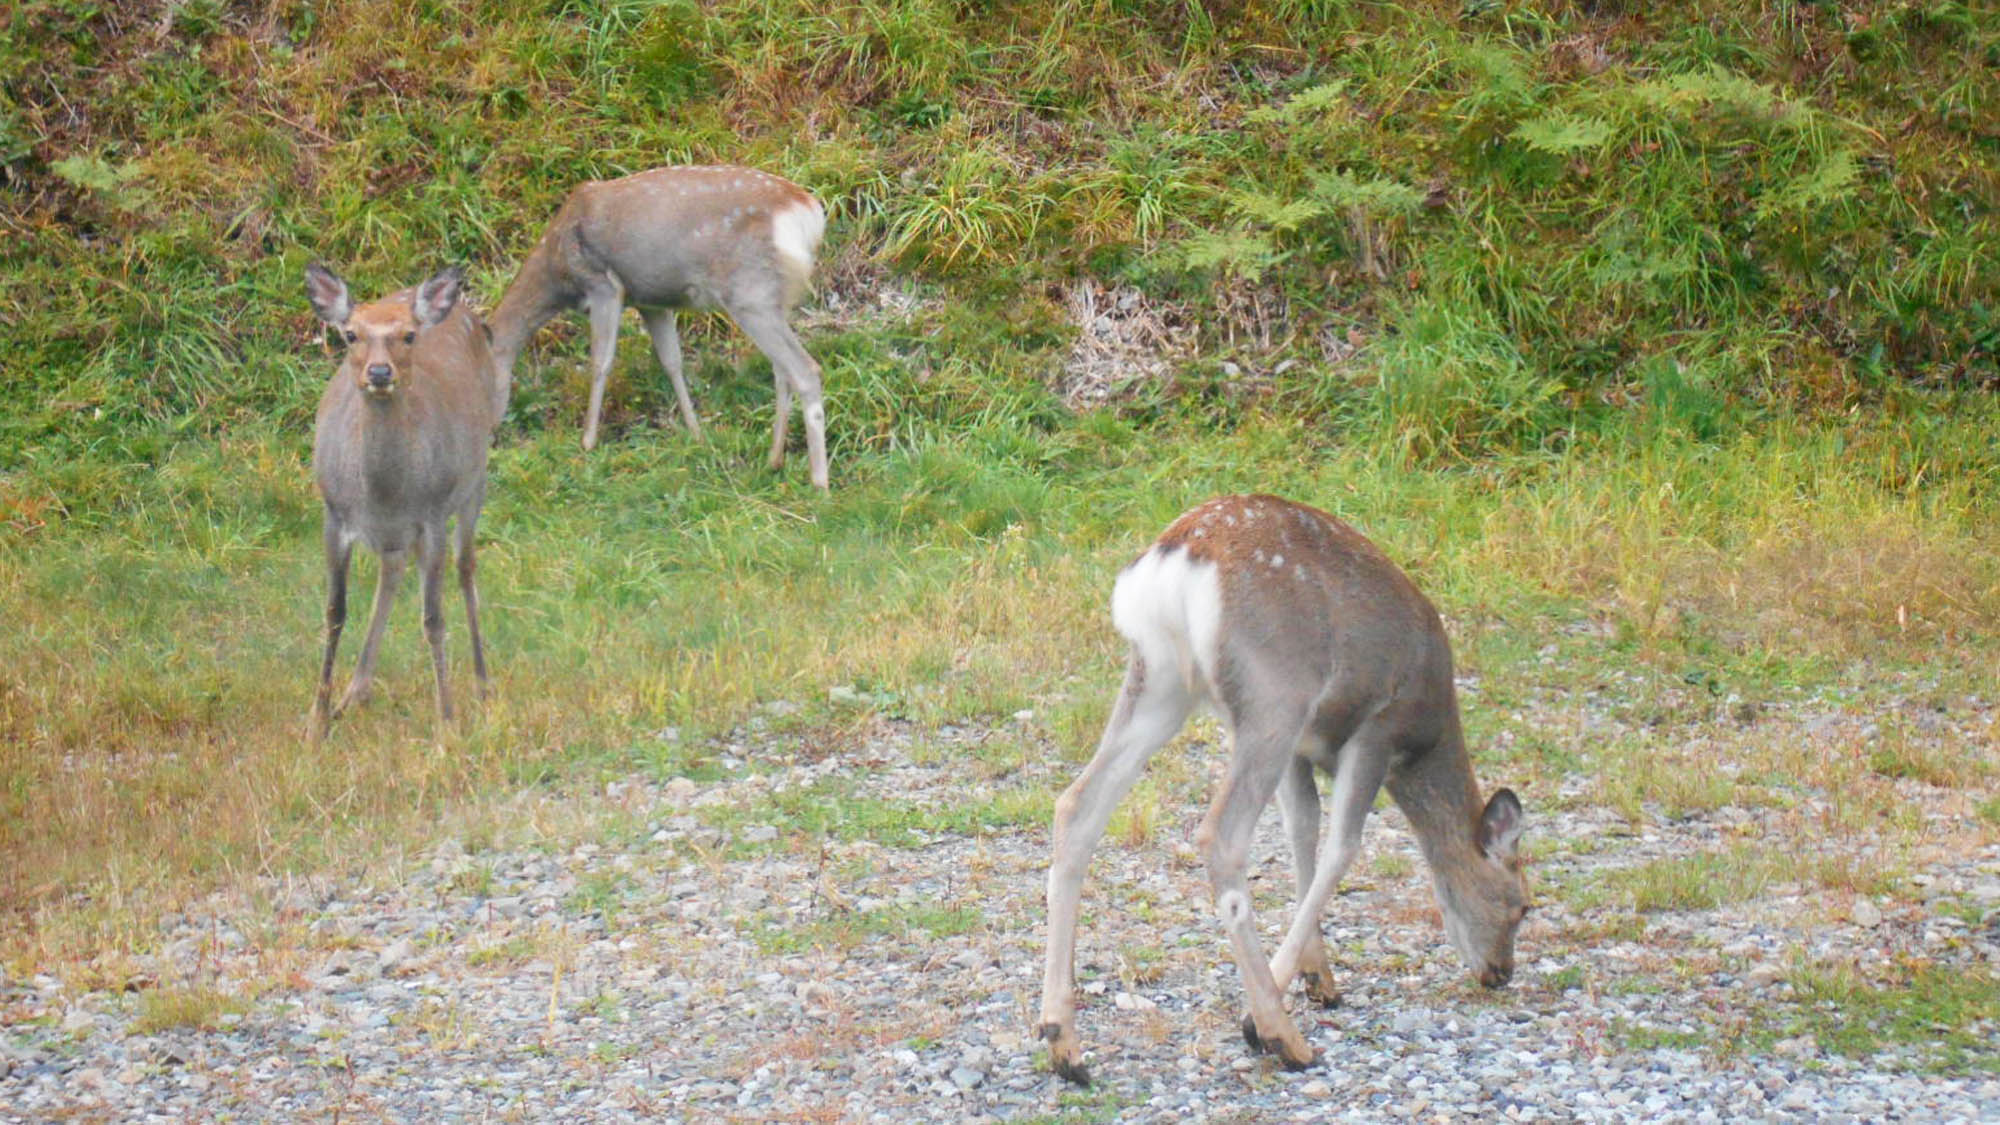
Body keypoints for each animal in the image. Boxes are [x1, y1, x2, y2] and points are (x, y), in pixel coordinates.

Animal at [308, 262, 508, 736]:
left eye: (409, 335)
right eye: (350, 334)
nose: (380, 373)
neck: (383, 491)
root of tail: (466, 314)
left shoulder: (431, 516)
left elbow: (433, 618)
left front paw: (447, 721)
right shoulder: (334, 515)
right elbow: (334, 611)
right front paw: (317, 719)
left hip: (475, 480)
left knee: (465, 568)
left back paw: (482, 684)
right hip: (399, 533)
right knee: (393, 571)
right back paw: (354, 693)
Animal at [488, 163, 832, 486]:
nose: (488, 438)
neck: (558, 269)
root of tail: (808, 211)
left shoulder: (604, 286)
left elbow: (600, 362)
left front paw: (587, 441)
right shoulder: (650, 301)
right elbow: (671, 361)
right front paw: (696, 432)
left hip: (749, 291)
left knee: (804, 369)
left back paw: (819, 482)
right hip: (773, 298)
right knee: (781, 370)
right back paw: (774, 460)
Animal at [1032, 490, 1528, 1080]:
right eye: (1522, 906)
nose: (1500, 972)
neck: (1425, 739)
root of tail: (1172, 561)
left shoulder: (1302, 752)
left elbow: (1302, 834)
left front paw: (1320, 977)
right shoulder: (1376, 729)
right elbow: (1342, 847)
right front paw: (1272, 1003)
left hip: (1161, 683)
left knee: (1076, 806)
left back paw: (1063, 1042)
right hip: (1274, 692)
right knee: (1220, 836)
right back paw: (1279, 1033)